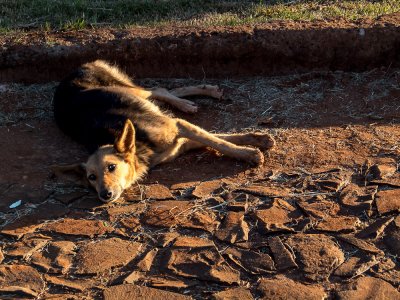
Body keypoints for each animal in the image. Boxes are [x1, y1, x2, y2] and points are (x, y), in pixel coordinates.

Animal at [53, 59, 276, 203]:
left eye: (111, 167)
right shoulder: (183, 140)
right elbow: (221, 138)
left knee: (158, 90)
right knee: (162, 92)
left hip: (129, 90)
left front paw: (251, 153)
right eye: (91, 177)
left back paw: (191, 101)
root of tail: (74, 70)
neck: (140, 150)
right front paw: (256, 141)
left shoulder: (179, 125)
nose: (104, 195)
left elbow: (220, 142)